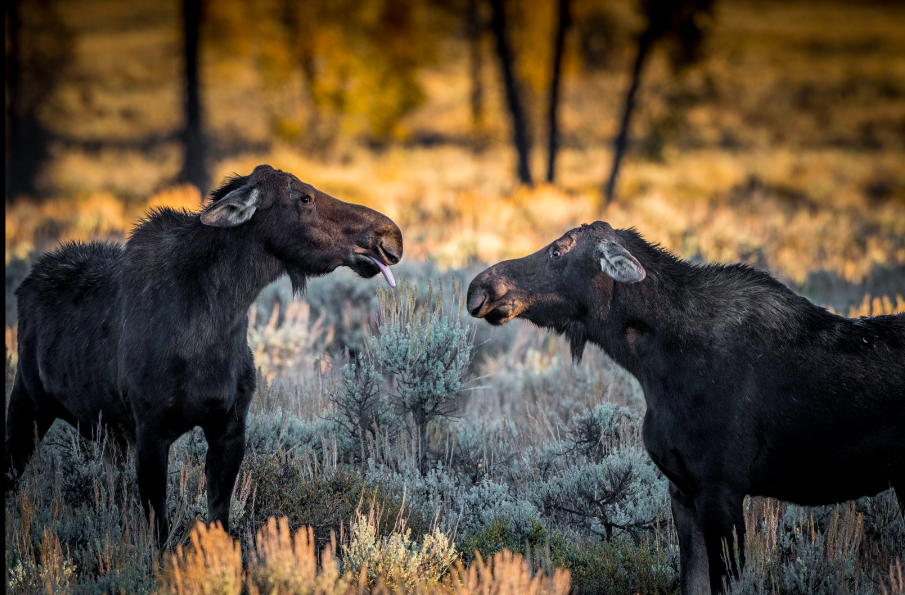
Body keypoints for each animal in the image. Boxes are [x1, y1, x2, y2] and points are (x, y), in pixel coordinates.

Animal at [7, 166, 400, 544]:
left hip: (108, 434)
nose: (389, 235)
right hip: (29, 402)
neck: (217, 323)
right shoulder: (150, 431)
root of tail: (24, 286)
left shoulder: (229, 426)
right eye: (304, 197)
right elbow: (159, 532)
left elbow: (219, 520)